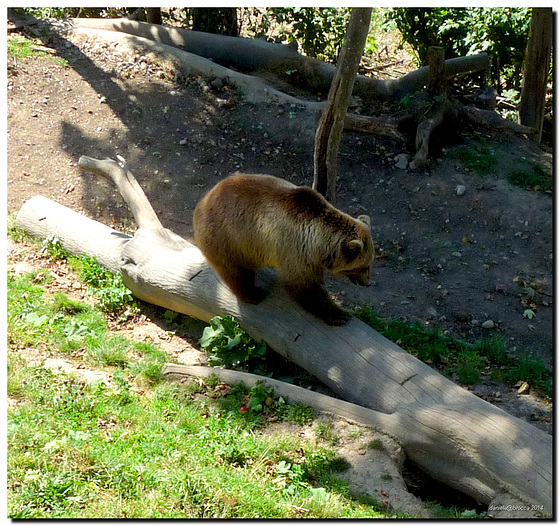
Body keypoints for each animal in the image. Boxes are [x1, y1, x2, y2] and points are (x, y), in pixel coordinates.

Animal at [195, 173, 374, 326]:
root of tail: (202, 201)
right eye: (364, 266)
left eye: (369, 264)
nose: (368, 283)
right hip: (228, 239)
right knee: (235, 272)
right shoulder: (295, 249)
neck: (319, 242)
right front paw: (340, 314)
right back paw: (253, 293)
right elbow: (303, 286)